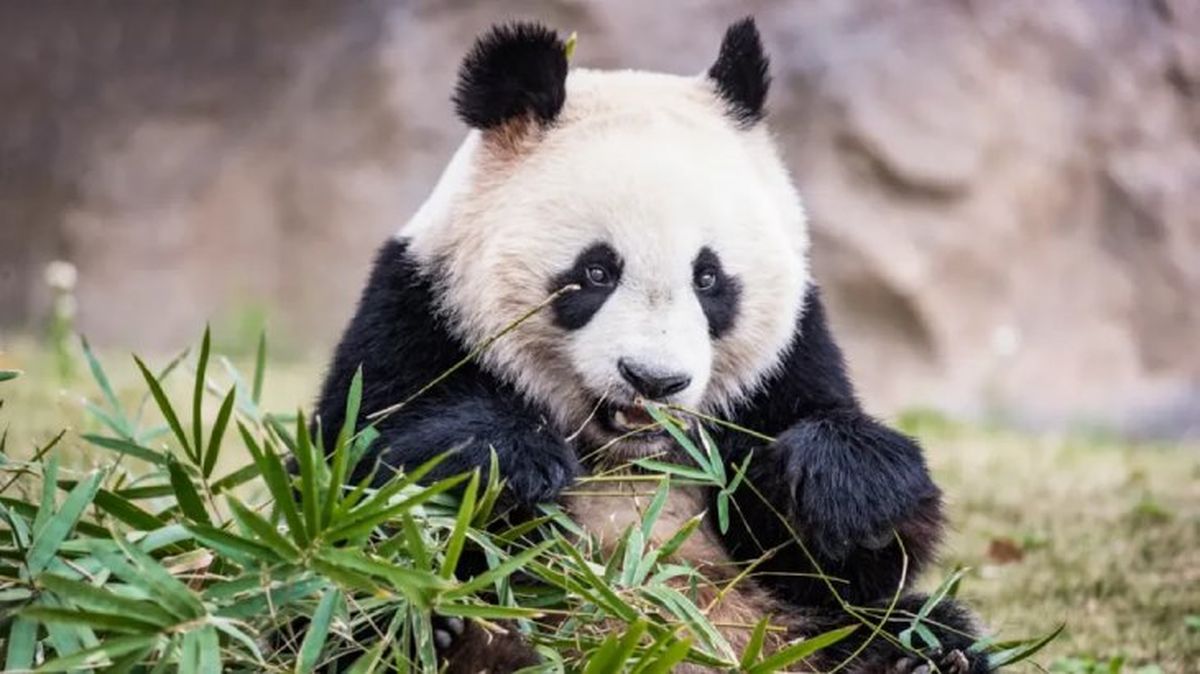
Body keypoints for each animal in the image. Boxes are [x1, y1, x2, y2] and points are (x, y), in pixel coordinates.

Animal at [315, 18, 992, 674]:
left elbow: (842, 566)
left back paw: (926, 660)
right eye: (596, 272)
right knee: (362, 600)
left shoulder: (787, 364)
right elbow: (355, 474)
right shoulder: (416, 314)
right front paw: (511, 458)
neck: (626, 455)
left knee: (901, 626)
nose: (653, 380)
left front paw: (843, 484)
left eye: (709, 278)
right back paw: (450, 636)